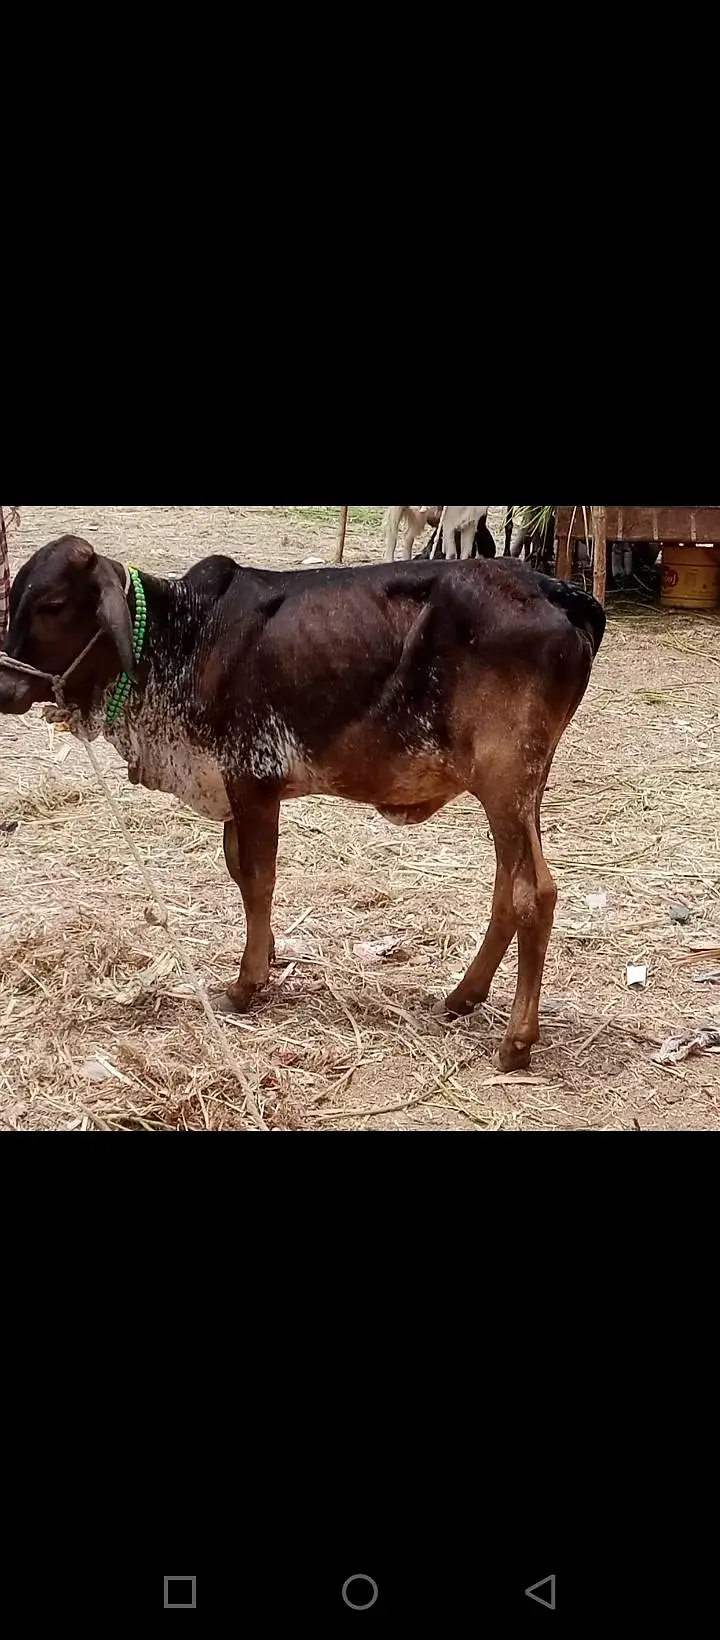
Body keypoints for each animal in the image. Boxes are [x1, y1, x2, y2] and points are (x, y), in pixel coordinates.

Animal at [0, 536, 606, 1072]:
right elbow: (239, 873)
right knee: (508, 889)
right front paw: (266, 958)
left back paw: (516, 1042)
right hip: (519, 792)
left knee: (533, 893)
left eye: (52, 606)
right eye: (14, 596)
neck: (183, 636)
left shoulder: (251, 780)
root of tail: (555, 590)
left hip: (507, 781)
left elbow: (257, 879)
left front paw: (246, 985)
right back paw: (462, 997)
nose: (6, 686)